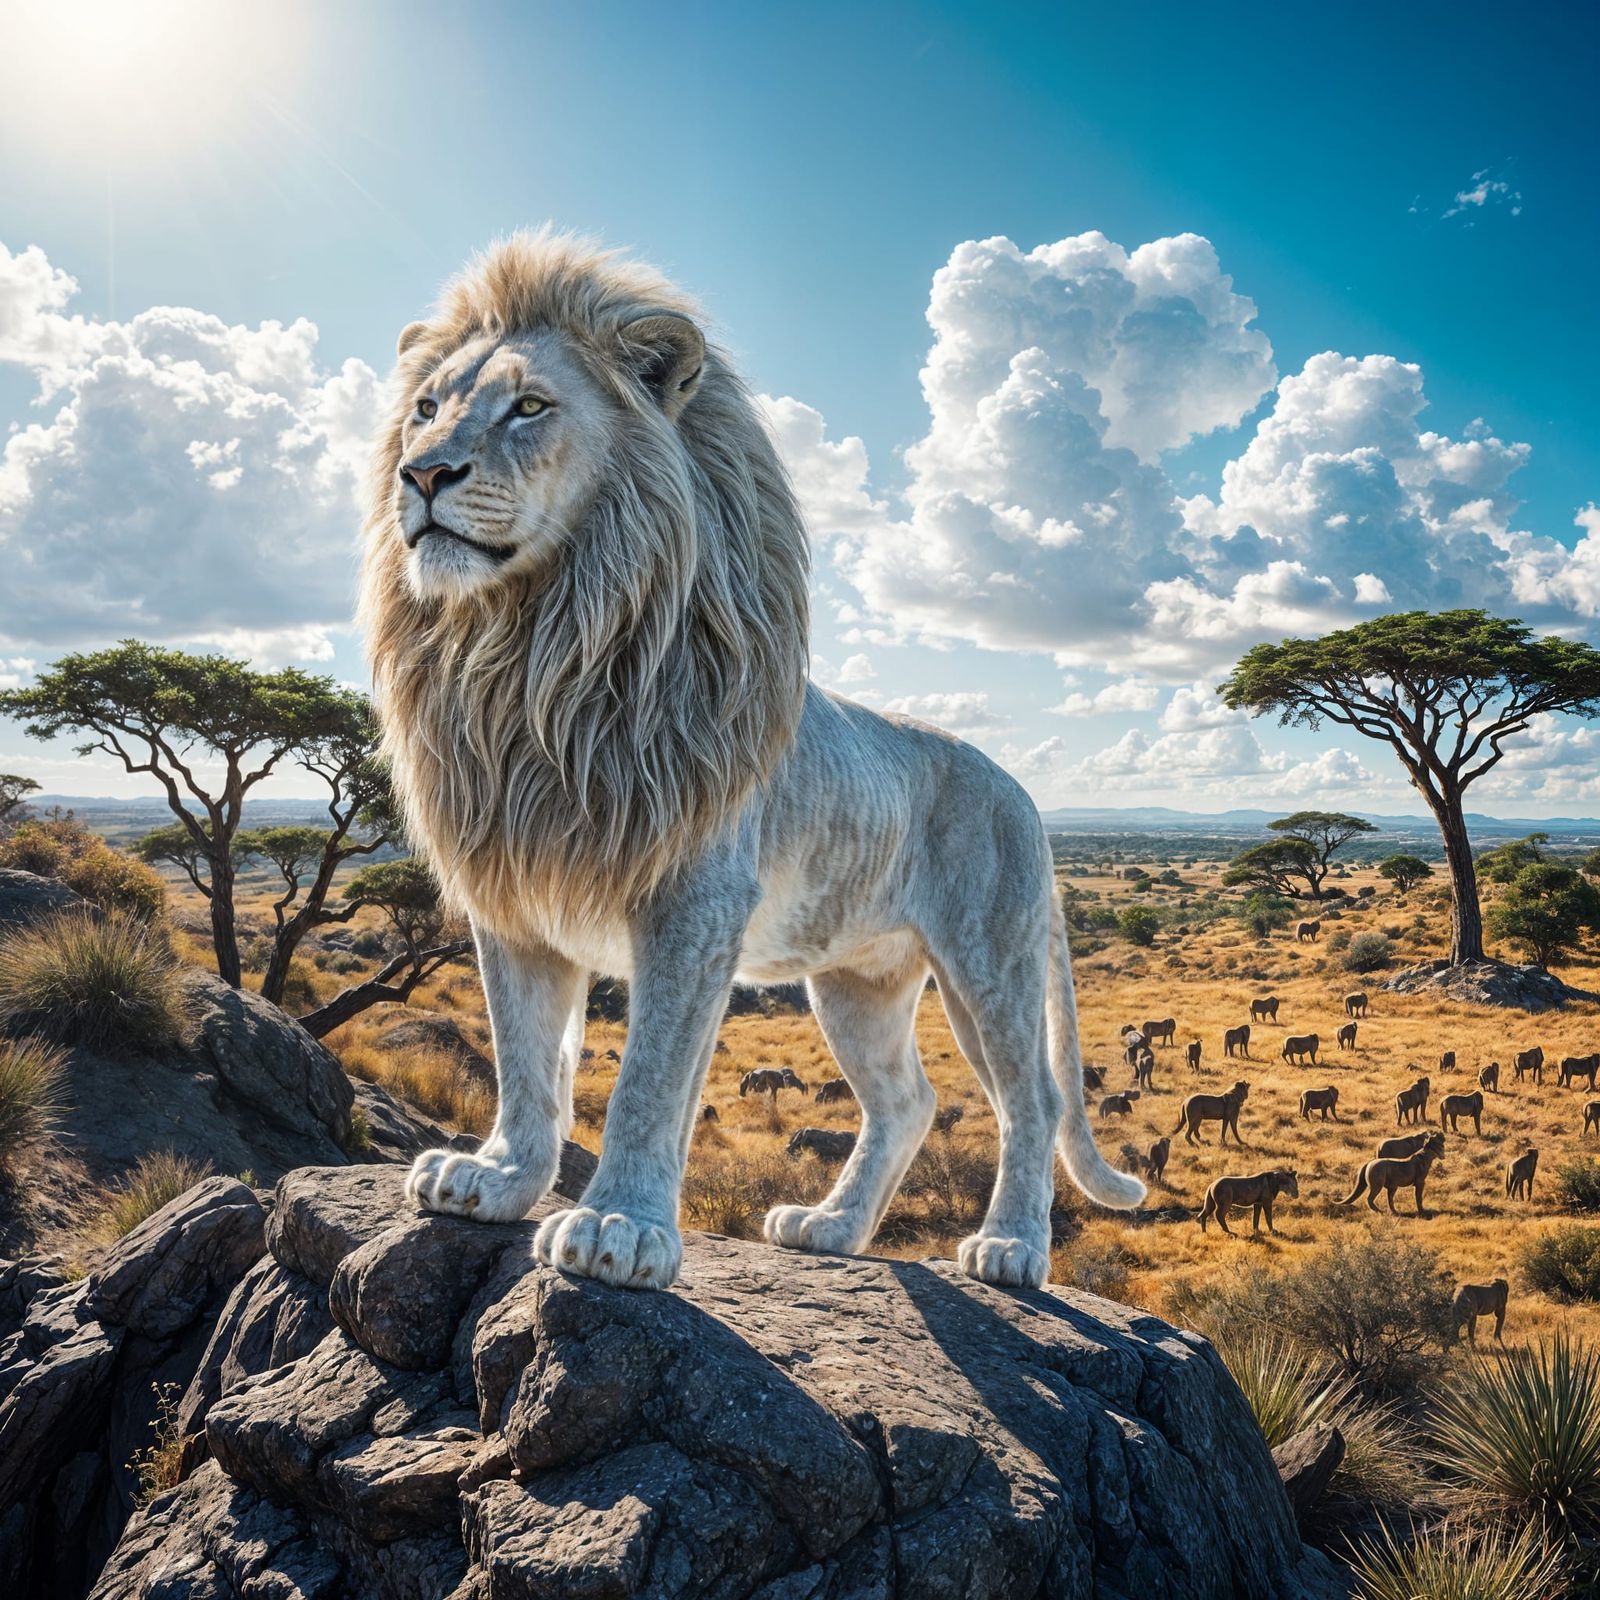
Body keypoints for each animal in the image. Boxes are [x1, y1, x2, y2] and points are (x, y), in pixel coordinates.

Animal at [364, 233, 1143, 1291]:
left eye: (530, 407)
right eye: (425, 407)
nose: (421, 473)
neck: (531, 655)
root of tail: (1020, 787)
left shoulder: (695, 899)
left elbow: (648, 1080)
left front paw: (619, 1228)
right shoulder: (515, 892)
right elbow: (526, 1060)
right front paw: (496, 1178)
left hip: (993, 958)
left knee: (1033, 1101)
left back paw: (1010, 1248)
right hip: (857, 980)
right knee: (908, 1100)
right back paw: (830, 1227)